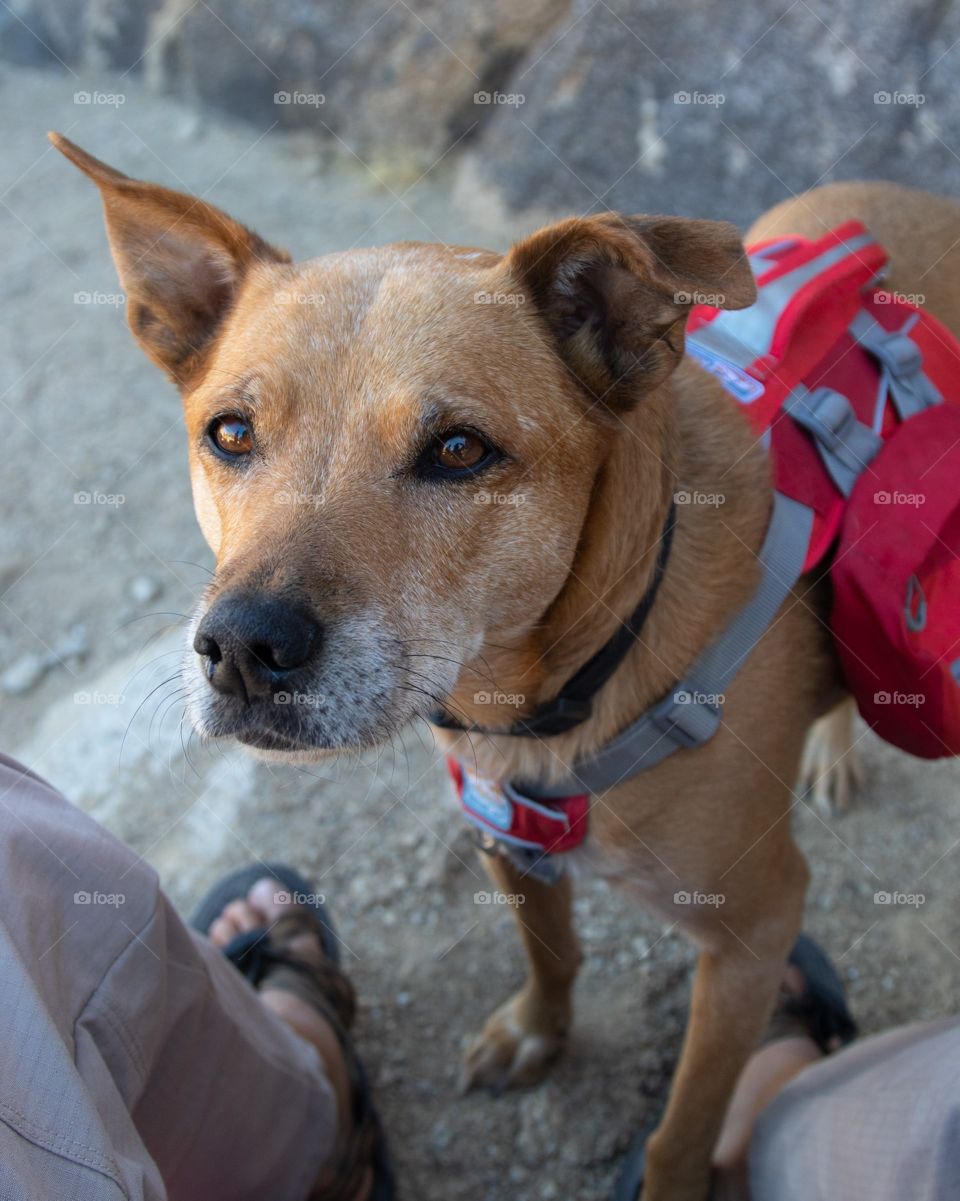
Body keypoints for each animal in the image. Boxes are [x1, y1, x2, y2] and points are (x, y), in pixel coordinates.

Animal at [50, 133, 960, 1201]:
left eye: (457, 449)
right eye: (230, 433)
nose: (241, 646)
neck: (560, 687)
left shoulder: (757, 931)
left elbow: (683, 1127)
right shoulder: (505, 836)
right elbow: (552, 952)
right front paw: (538, 1033)